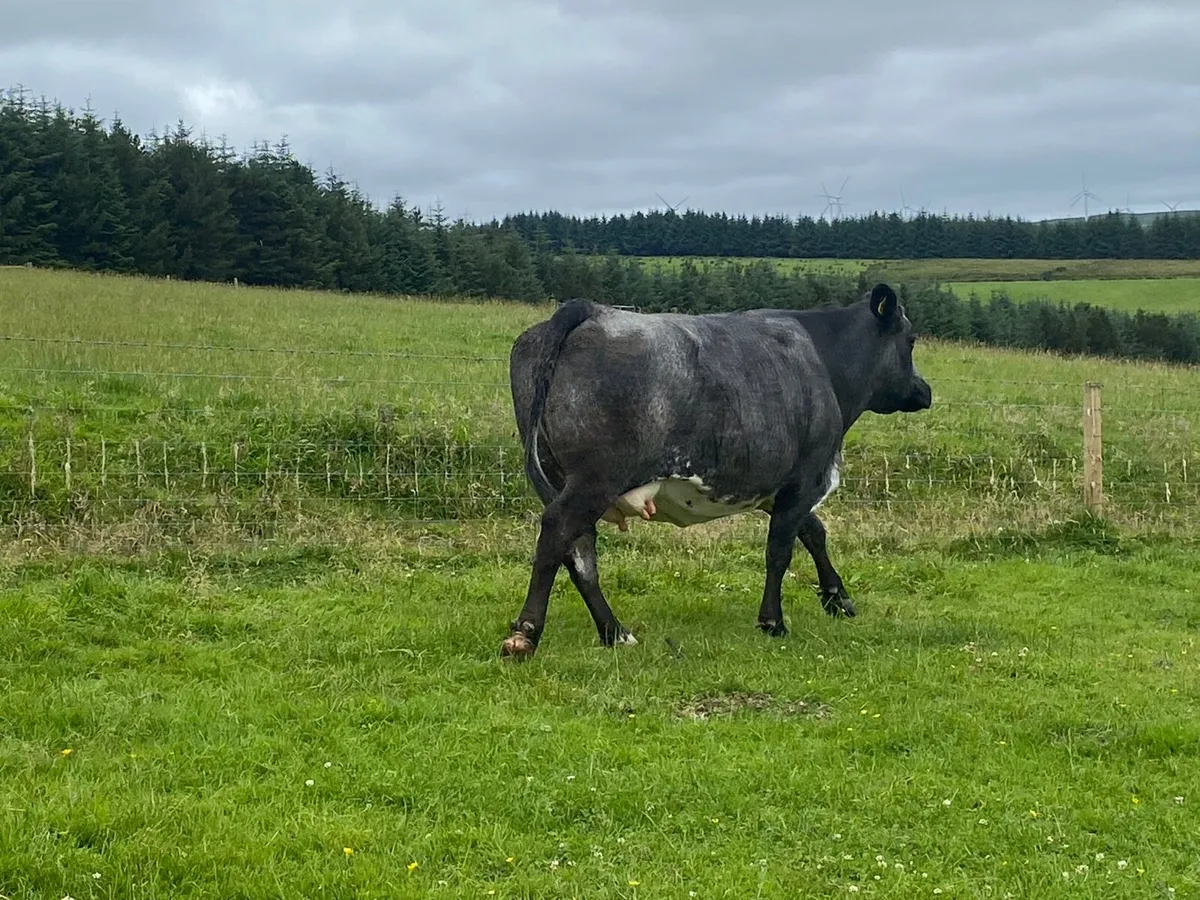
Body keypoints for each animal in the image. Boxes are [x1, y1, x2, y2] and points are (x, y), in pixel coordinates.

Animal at [501, 282, 932, 659]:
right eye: (910, 340)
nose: (924, 390)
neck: (825, 362)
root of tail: (592, 310)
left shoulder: (777, 483)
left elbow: (813, 532)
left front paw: (837, 598)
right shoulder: (804, 475)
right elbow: (780, 550)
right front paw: (774, 622)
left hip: (561, 479)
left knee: (579, 552)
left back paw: (614, 632)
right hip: (595, 479)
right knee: (558, 533)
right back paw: (525, 635)